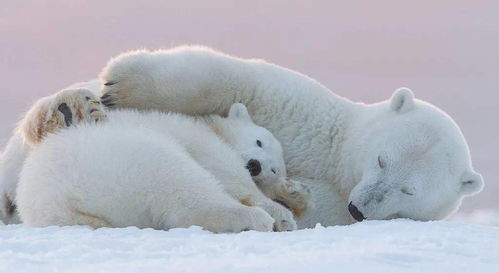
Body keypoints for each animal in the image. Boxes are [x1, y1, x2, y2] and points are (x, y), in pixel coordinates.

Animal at [9, 87, 310, 232]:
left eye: (274, 169)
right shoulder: (198, 139)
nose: (256, 165)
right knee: (184, 186)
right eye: (259, 141)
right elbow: (231, 176)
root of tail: (55, 202)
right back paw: (254, 218)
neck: (210, 126)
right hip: (128, 157)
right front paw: (281, 214)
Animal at [99, 45, 486, 226]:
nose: (359, 209)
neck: (339, 164)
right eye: (381, 159)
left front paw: (287, 194)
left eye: (409, 190)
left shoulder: (335, 210)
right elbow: (238, 80)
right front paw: (119, 85)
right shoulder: (303, 112)